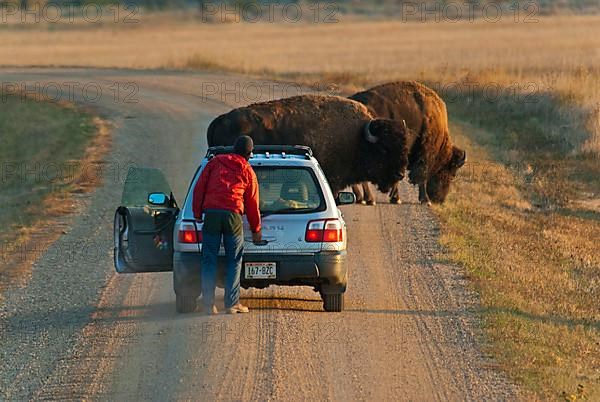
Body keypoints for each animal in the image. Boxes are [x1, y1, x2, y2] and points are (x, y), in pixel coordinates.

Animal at [205, 94, 412, 195]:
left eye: (404, 147)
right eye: (384, 148)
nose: (400, 174)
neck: (357, 137)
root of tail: (221, 119)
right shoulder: (332, 181)